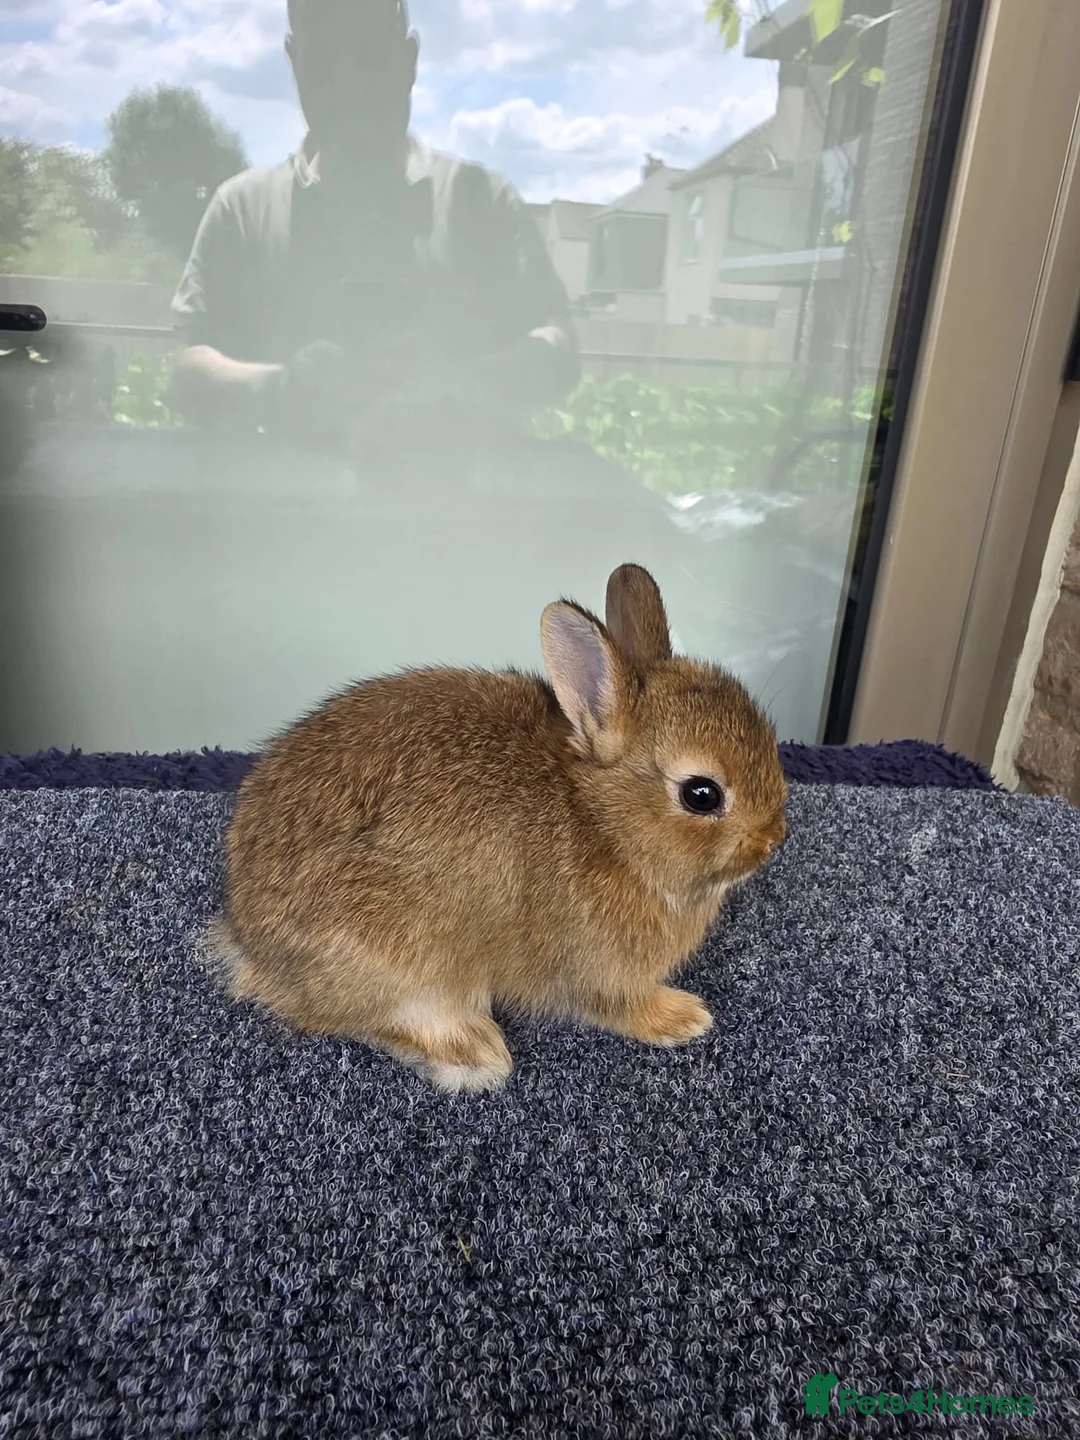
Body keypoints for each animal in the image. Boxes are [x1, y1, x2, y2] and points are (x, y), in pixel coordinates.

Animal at [214, 563, 788, 1092]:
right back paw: (476, 1053)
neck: (602, 823)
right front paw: (685, 1018)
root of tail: (249, 945)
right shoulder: (598, 975)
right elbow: (622, 1008)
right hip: (405, 962)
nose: (771, 841)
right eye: (701, 794)